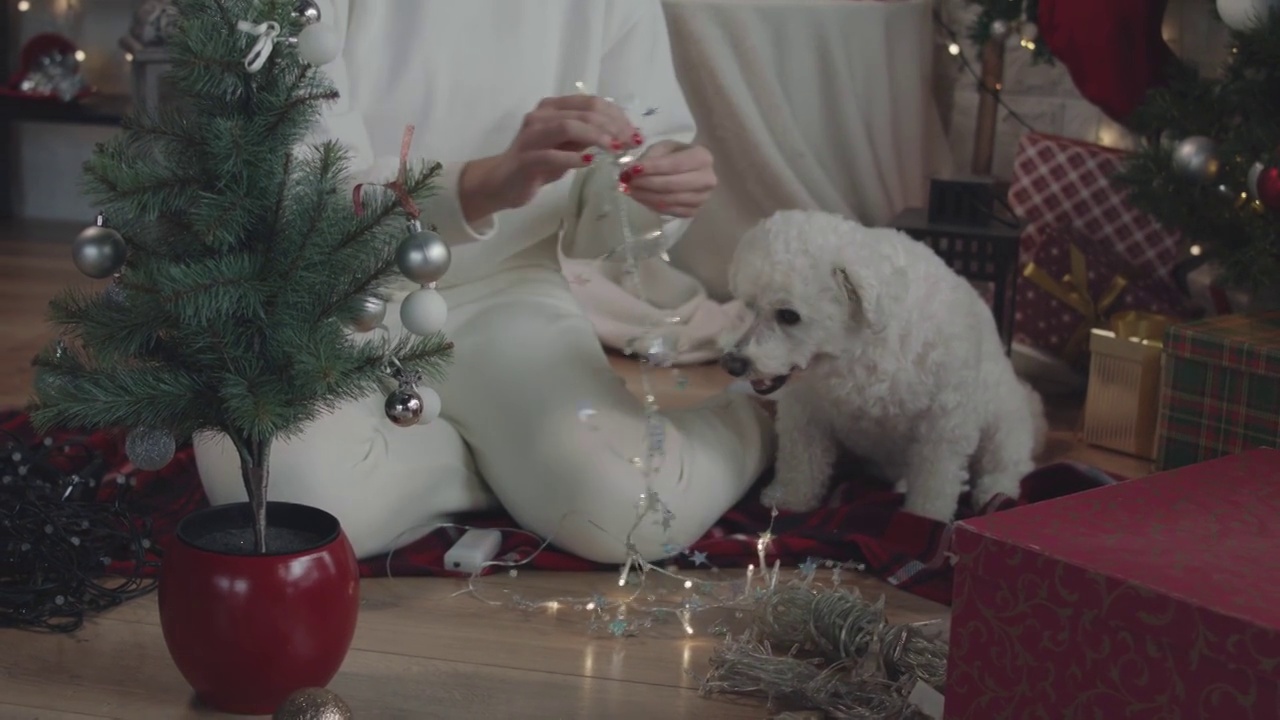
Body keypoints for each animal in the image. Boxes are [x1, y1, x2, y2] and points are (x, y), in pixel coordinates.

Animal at [721, 210, 1049, 517]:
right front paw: (788, 500)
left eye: (789, 315)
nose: (732, 365)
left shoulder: (944, 423)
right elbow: (801, 460)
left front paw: (924, 518)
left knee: (1008, 464)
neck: (855, 351)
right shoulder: (806, 410)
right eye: (749, 307)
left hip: (1003, 424)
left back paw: (995, 494)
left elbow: (935, 482)